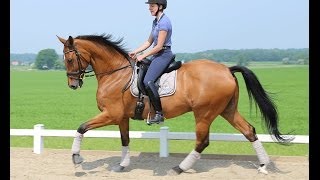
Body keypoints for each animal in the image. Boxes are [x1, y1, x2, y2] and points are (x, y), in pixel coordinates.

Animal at [57, 33, 292, 174]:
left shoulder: (111, 114)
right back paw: (263, 166)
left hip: (204, 113)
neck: (115, 74)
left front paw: (76, 158)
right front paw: (122, 165)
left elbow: (81, 127)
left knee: (202, 141)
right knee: (249, 131)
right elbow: (125, 140)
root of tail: (226, 69)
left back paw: (179, 168)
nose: (72, 84)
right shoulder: (121, 117)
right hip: (228, 110)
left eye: (69, 59)